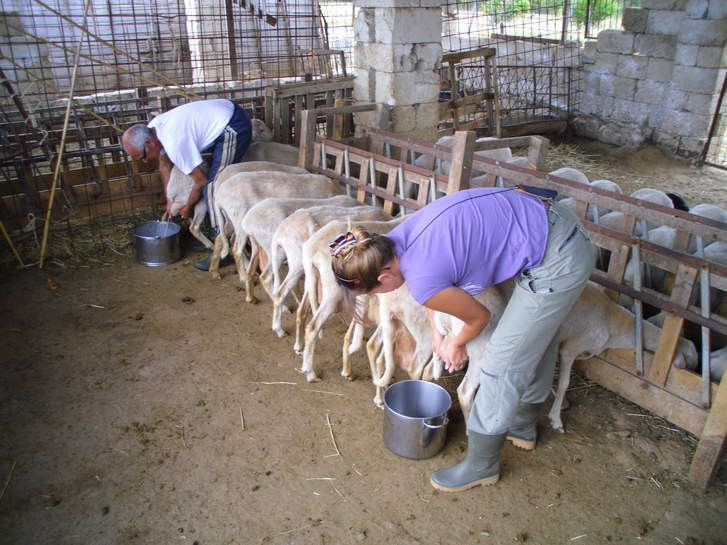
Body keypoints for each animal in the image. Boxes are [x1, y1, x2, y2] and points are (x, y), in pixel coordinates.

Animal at [209, 172, 346, 278]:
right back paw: (243, 276)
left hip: (230, 220)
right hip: (239, 218)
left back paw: (215, 272)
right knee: (236, 249)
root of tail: (219, 196)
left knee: (220, 238)